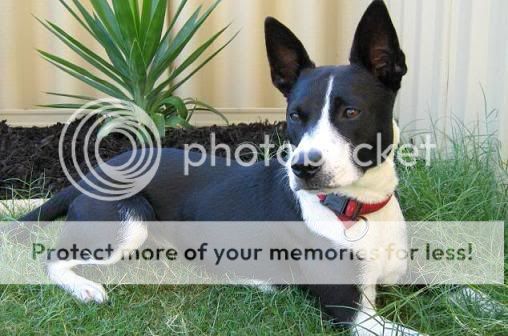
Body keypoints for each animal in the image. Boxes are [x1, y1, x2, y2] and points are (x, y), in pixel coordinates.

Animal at [16, 1, 420, 334]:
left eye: (351, 111)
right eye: (295, 116)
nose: (304, 169)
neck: (358, 207)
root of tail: (94, 172)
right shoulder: (353, 315)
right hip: (127, 221)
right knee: (53, 259)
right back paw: (85, 287)